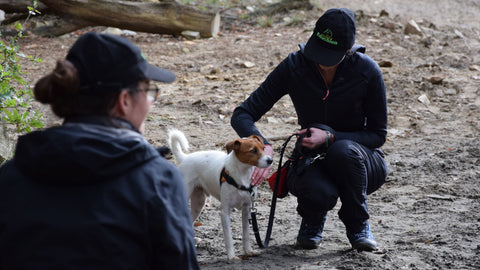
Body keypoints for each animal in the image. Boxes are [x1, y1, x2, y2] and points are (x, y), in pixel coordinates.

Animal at [168, 130, 274, 260]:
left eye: (263, 148)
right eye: (253, 150)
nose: (270, 160)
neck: (242, 175)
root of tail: (185, 158)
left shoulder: (247, 209)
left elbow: (246, 234)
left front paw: (248, 251)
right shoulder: (225, 211)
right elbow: (228, 237)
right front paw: (231, 257)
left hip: (198, 203)